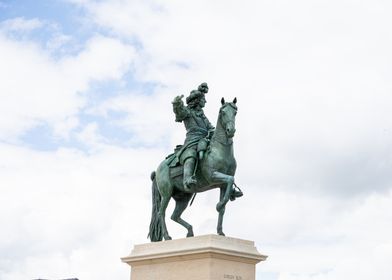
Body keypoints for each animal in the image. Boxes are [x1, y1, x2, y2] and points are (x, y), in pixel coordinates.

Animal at [148, 97, 237, 242]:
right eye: (223, 112)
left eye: (235, 112)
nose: (231, 130)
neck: (220, 150)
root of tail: (158, 170)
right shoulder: (213, 176)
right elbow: (230, 179)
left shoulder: (222, 185)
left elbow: (224, 204)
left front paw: (220, 231)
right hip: (166, 194)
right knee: (162, 212)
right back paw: (167, 236)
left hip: (184, 197)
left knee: (174, 215)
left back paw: (190, 231)